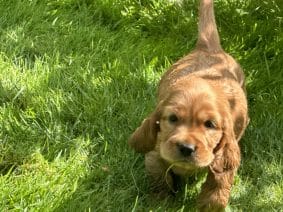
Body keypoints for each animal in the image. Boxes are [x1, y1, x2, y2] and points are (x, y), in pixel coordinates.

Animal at [128, 0, 248, 210]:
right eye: (173, 119)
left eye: (210, 124)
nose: (186, 148)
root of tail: (210, 49)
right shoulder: (155, 152)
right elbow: (160, 178)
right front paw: (161, 202)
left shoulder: (225, 155)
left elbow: (219, 183)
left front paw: (209, 205)